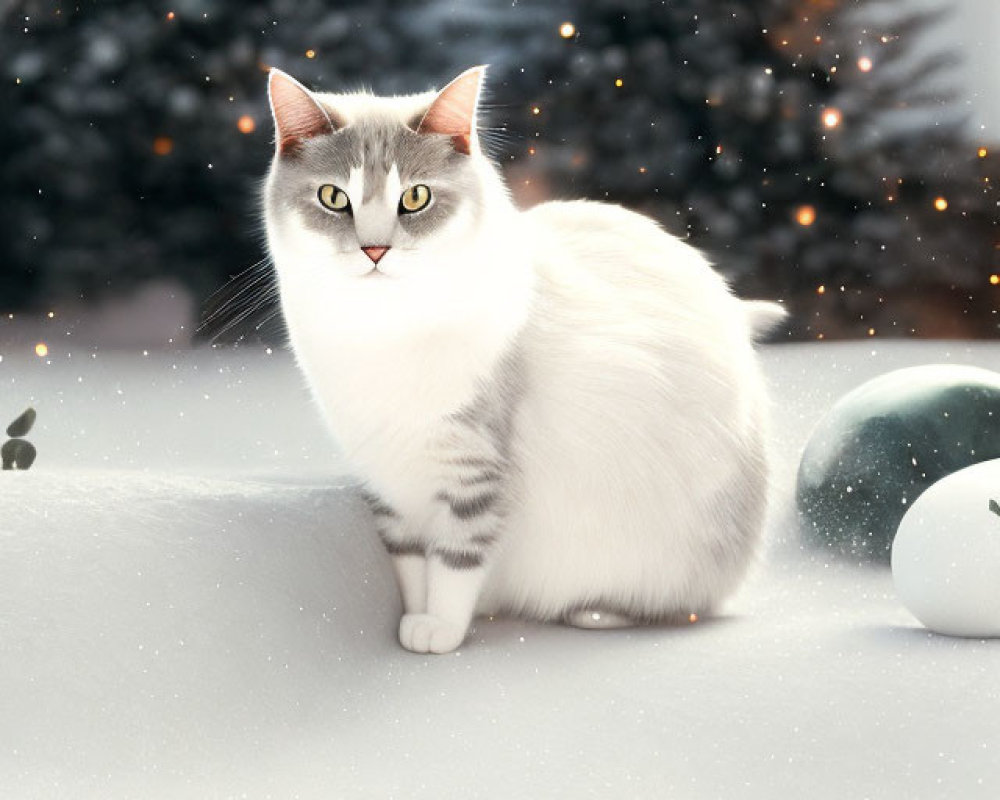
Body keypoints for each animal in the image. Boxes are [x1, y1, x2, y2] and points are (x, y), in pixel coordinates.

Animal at [262, 65, 784, 652]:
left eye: (415, 197)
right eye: (333, 197)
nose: (374, 250)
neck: (381, 334)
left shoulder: (478, 468)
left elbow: (456, 561)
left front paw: (440, 630)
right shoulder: (385, 479)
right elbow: (411, 565)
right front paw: (415, 619)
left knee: (677, 605)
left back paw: (597, 613)